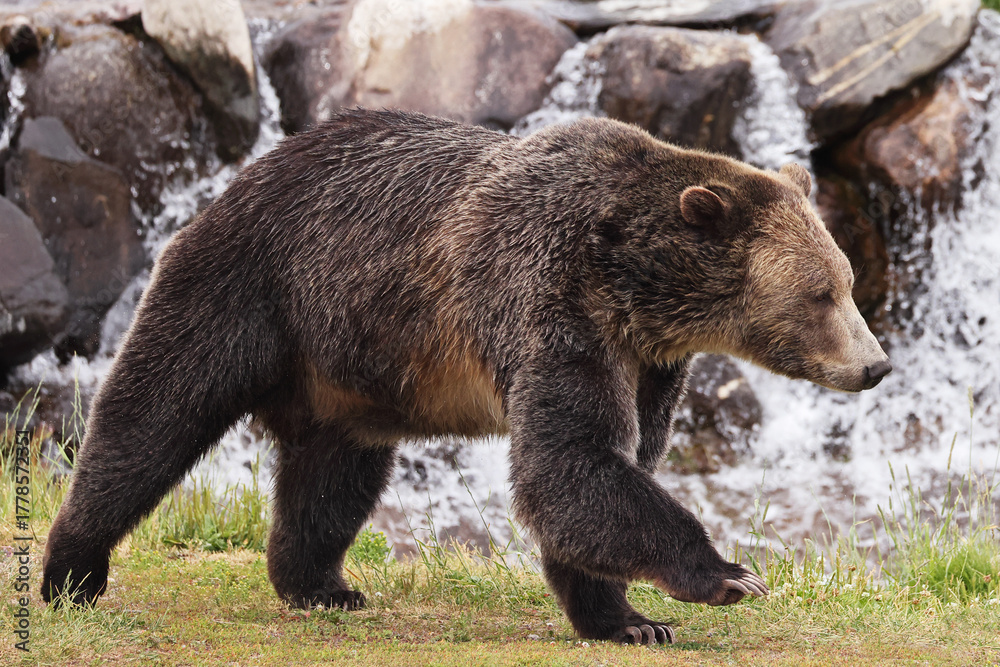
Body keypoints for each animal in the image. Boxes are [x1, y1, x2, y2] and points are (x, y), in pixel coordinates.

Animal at [42, 109, 891, 644]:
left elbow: (605, 467)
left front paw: (629, 618)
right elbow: (569, 461)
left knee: (333, 477)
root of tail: (241, 178)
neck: (633, 284)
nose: (876, 364)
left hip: (351, 372)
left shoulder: (647, 360)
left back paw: (321, 583)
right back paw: (71, 569)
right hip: (251, 287)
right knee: (152, 414)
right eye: (822, 292)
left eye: (846, 281)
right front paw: (726, 573)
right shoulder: (548, 299)